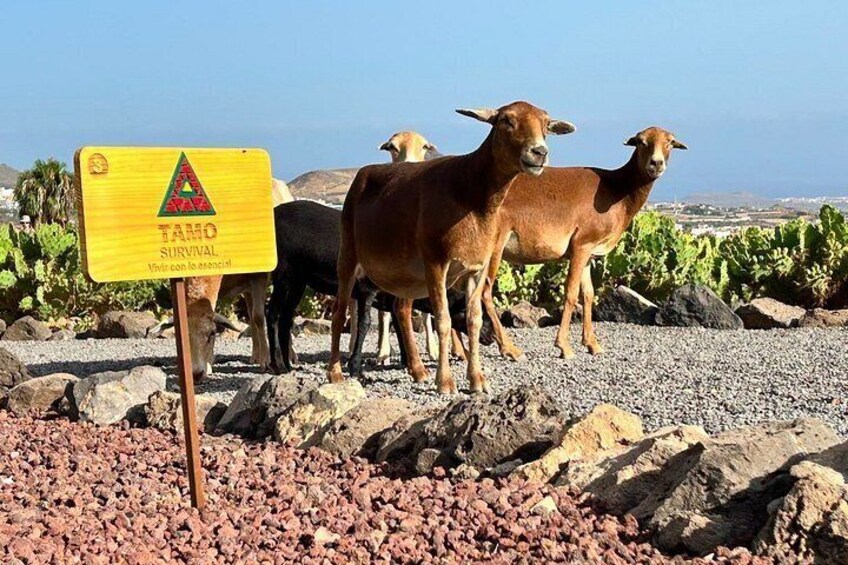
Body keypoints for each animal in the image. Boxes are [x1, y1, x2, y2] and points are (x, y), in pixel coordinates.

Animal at [328, 101, 575, 394]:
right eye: (506, 120)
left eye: (546, 124)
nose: (539, 152)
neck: (472, 193)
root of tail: (364, 172)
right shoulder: (436, 262)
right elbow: (443, 320)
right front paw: (445, 381)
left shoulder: (476, 268)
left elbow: (473, 320)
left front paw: (477, 379)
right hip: (348, 253)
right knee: (339, 311)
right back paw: (335, 373)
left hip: (404, 273)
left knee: (400, 308)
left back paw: (416, 370)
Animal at [480, 126, 687, 360]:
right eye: (641, 142)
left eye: (670, 142)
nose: (656, 163)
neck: (617, 190)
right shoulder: (581, 244)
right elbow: (571, 294)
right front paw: (564, 346)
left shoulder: (589, 253)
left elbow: (588, 295)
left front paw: (592, 345)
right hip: (494, 246)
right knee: (485, 292)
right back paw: (510, 348)